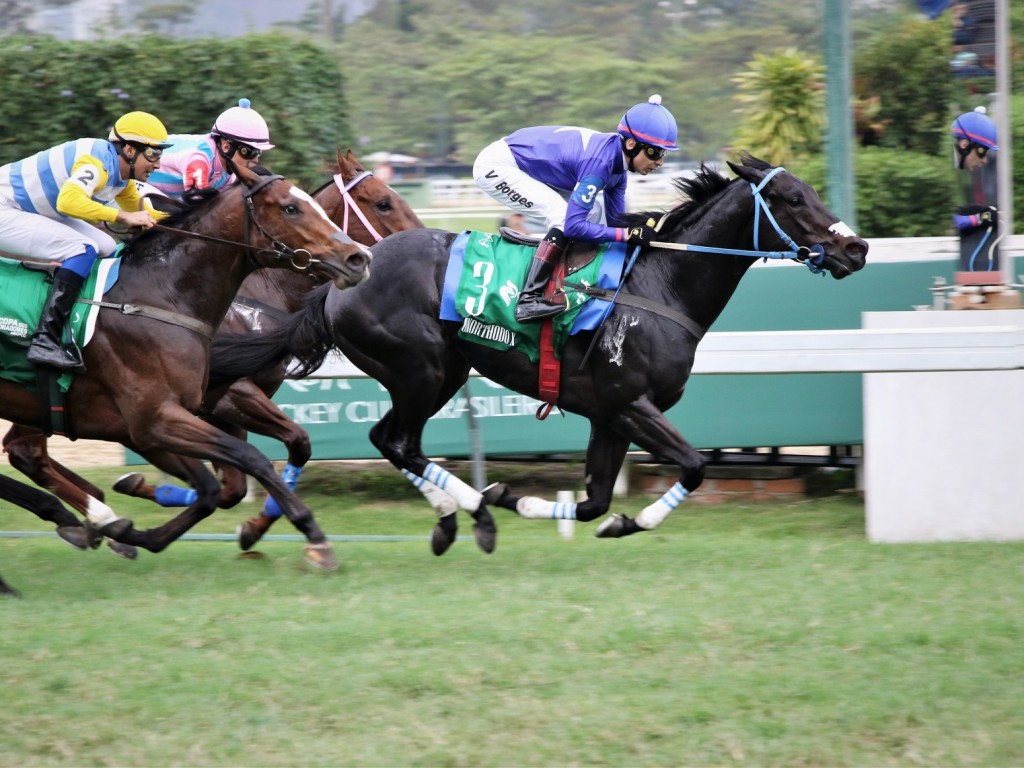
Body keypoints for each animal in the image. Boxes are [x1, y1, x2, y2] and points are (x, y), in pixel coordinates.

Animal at [3, 148, 419, 561]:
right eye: (383, 203)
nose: (359, 259)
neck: (161, 294)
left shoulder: (207, 408)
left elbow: (253, 472)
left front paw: (251, 527)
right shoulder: (215, 401)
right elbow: (252, 462)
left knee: (23, 452)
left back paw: (90, 517)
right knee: (26, 452)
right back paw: (89, 515)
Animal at [211, 154, 868, 552]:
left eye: (811, 192)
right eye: (792, 199)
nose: (856, 249)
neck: (658, 286)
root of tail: (344, 278)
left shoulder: (609, 415)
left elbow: (595, 500)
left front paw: (580, 512)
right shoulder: (632, 404)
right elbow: (693, 465)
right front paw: (621, 517)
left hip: (435, 373)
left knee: (394, 442)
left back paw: (455, 518)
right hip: (426, 369)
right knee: (396, 442)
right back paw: (475, 513)